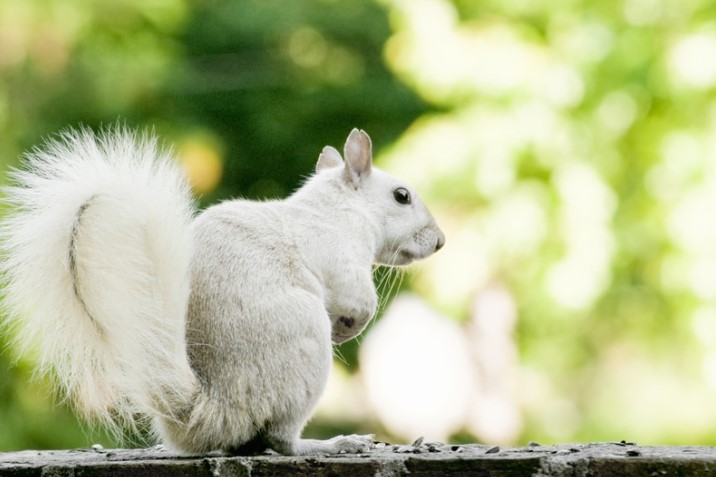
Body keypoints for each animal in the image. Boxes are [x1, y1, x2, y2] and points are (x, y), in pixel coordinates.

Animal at [0, 126, 444, 454]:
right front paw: (348, 328)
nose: (439, 241)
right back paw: (332, 444)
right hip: (302, 343)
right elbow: (358, 300)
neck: (339, 206)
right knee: (280, 440)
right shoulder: (341, 256)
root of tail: (210, 412)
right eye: (401, 196)